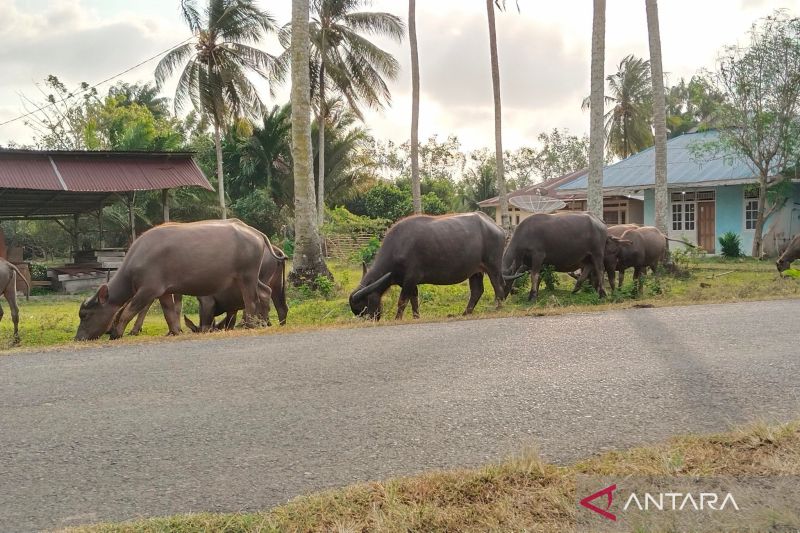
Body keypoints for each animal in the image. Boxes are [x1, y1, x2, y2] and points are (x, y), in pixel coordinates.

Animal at [75, 219, 268, 340]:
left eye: (85, 315)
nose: (78, 338)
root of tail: (256, 233)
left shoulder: (148, 290)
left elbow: (129, 310)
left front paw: (116, 332)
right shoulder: (164, 292)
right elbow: (169, 313)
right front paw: (175, 331)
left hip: (247, 275)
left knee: (250, 299)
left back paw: (250, 324)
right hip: (250, 277)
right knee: (265, 292)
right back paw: (263, 322)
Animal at [346, 212, 504, 320]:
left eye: (364, 306)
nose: (370, 319)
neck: (398, 247)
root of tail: (497, 227)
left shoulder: (410, 278)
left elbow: (402, 301)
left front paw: (397, 318)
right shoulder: (408, 282)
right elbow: (414, 300)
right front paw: (416, 317)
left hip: (493, 266)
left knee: (498, 287)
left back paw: (498, 308)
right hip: (475, 271)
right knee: (477, 291)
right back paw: (466, 313)